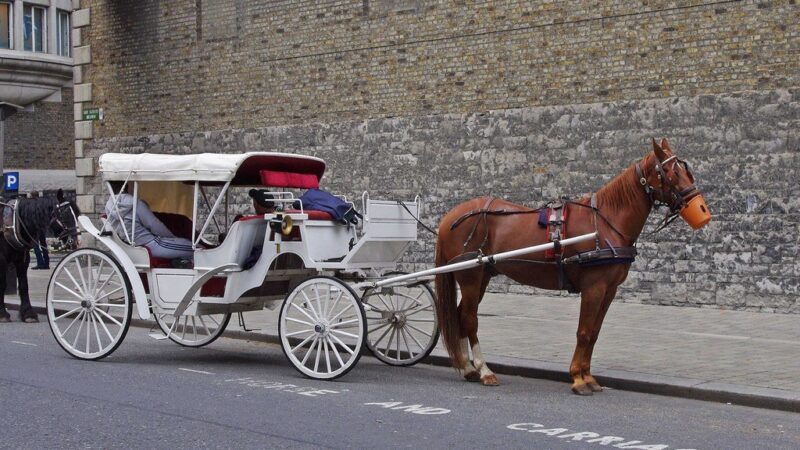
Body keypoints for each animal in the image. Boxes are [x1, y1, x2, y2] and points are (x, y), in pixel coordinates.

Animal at [0, 190, 81, 323]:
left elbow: (24, 285)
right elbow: (3, 284)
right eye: (65, 214)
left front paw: (28, 313)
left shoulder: (22, 259)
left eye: (77, 213)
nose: (77, 241)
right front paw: (3, 314)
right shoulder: (2, 259)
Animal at [433, 138, 711, 395]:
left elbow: (595, 332)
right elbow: (584, 332)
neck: (604, 223)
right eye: (671, 173)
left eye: (686, 170)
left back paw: (467, 368)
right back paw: (483, 370)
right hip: (470, 277)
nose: (703, 210)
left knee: (460, 316)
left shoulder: (609, 290)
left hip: (482, 276)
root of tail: (450, 216)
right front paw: (578, 379)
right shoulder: (593, 288)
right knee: (470, 319)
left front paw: (588, 376)